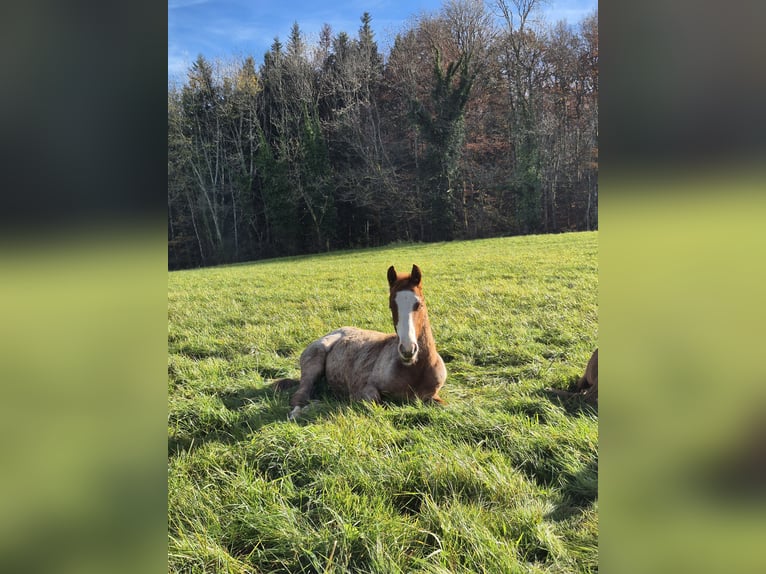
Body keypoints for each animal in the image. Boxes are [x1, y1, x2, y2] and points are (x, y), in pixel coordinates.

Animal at [273, 264, 447, 420]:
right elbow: (375, 402)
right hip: (313, 362)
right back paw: (304, 410)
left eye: (419, 304)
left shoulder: (433, 396)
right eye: (391, 306)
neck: (415, 370)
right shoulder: (364, 389)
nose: (408, 350)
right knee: (300, 396)